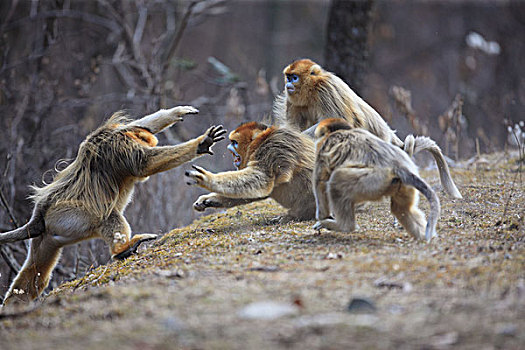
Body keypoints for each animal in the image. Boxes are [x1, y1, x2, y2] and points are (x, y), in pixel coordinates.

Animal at [0, 106, 223, 304]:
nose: (149, 140)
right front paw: (200, 143)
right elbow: (144, 164)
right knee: (106, 217)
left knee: (36, 273)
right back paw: (122, 249)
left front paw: (176, 112)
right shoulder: (119, 145)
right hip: (67, 216)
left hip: (48, 236)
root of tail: (40, 216)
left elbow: (147, 124)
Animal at [184, 121, 316, 220]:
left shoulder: (273, 148)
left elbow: (263, 179)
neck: (262, 140)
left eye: (234, 142)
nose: (229, 147)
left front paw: (207, 178)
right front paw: (208, 200)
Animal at [272, 58, 460, 198]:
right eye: (288, 77)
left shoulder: (326, 88)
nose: (288, 84)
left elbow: (340, 121)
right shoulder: (292, 100)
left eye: (294, 77)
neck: (312, 90)